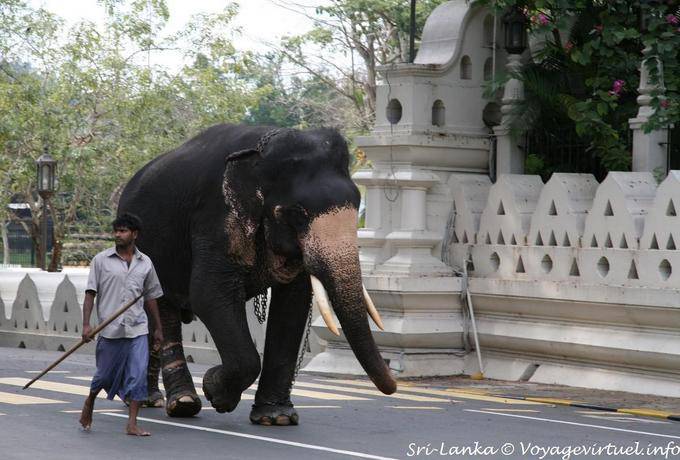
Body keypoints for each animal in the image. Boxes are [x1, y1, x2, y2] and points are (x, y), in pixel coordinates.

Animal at [117, 123, 397, 425]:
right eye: (297, 213)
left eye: (357, 204)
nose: (393, 384)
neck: (262, 152)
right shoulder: (215, 217)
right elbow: (209, 293)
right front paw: (215, 391)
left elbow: (294, 305)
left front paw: (276, 418)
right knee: (163, 309)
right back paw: (180, 404)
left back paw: (152, 400)